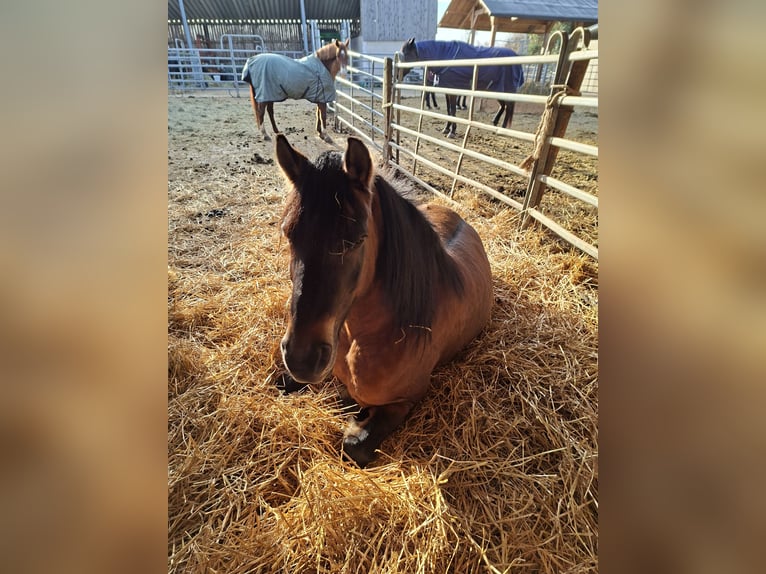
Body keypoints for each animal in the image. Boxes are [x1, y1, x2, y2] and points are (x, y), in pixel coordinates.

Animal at [274, 134, 493, 467]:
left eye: (357, 240)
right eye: (288, 233)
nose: (302, 357)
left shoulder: (406, 400)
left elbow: (354, 446)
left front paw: (354, 418)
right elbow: (284, 383)